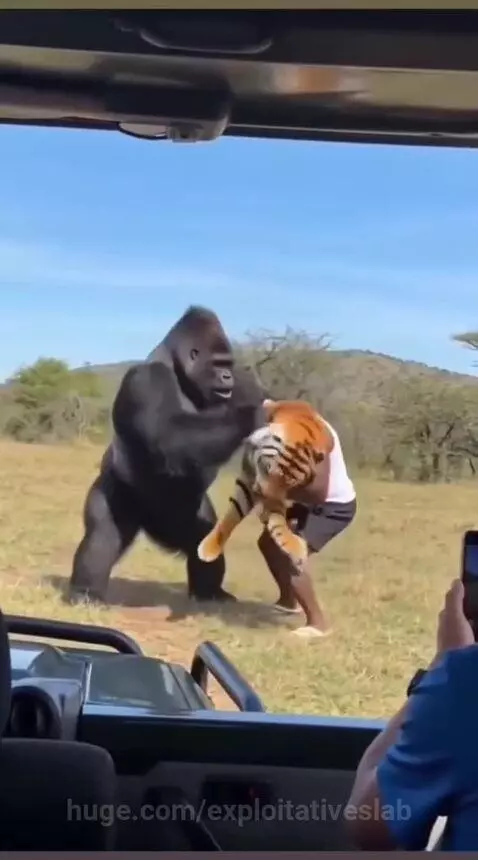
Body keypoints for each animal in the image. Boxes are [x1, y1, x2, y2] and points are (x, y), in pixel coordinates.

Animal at [197, 398, 335, 571]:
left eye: (290, 482)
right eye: (268, 469)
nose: (263, 494)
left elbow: (277, 519)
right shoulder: (249, 478)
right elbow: (233, 514)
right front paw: (210, 548)